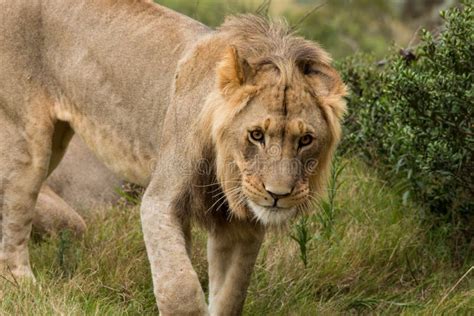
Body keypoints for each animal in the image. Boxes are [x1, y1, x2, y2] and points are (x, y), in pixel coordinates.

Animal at [1, 1, 346, 314]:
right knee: (15, 219)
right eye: (256, 134)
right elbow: (180, 287)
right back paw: (26, 287)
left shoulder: (240, 223)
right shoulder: (161, 199)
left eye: (306, 140)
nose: (278, 194)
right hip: (27, 142)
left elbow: (231, 293)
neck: (226, 169)